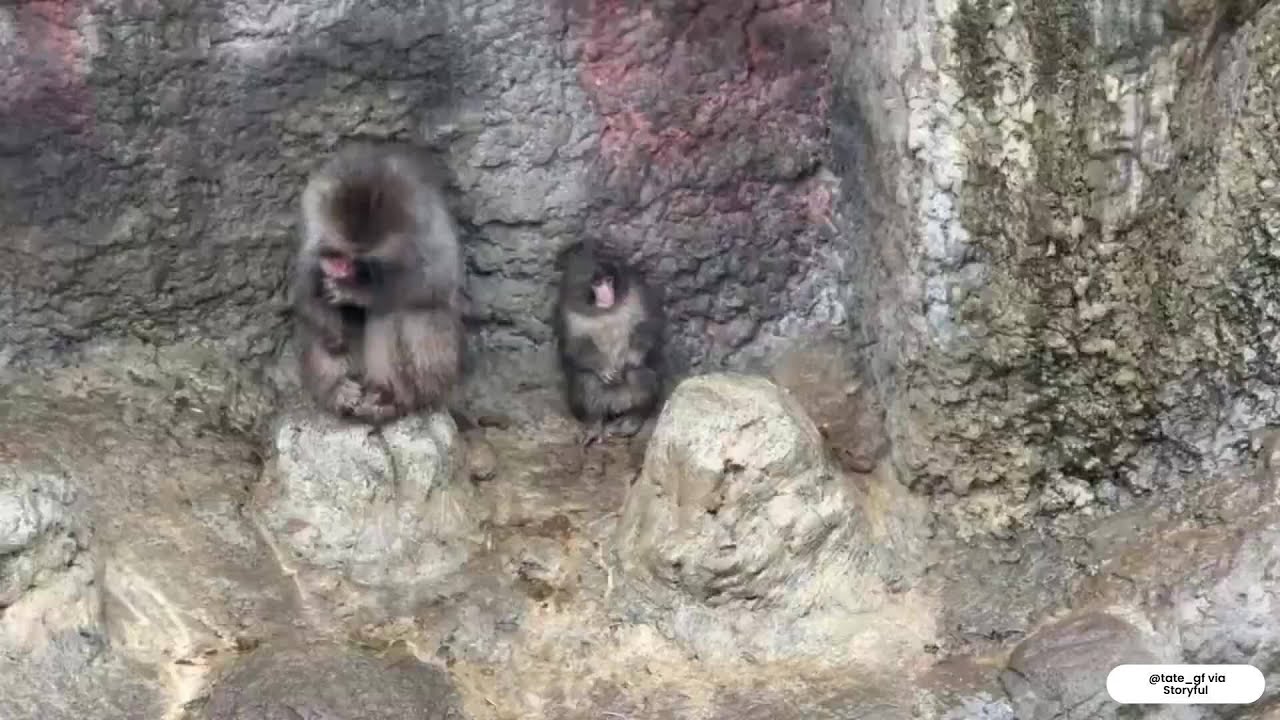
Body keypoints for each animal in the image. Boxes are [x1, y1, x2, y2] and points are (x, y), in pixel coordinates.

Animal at [291, 141, 465, 425]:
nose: (339, 270)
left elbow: (435, 280)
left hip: (440, 365)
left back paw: (393, 400)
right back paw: (338, 391)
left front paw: (357, 291)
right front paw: (331, 330)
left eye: (363, 261)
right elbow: (305, 292)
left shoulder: (428, 225)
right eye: (338, 255)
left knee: (406, 314)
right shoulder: (312, 230)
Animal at [553, 240, 665, 446]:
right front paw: (603, 368)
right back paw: (594, 423)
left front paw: (632, 357)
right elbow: (573, 345)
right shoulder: (565, 309)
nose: (608, 294)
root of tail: (616, 405)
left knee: (639, 374)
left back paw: (633, 419)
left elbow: (651, 323)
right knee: (587, 380)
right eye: (597, 283)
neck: (601, 309)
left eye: (609, 279)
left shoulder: (637, 290)